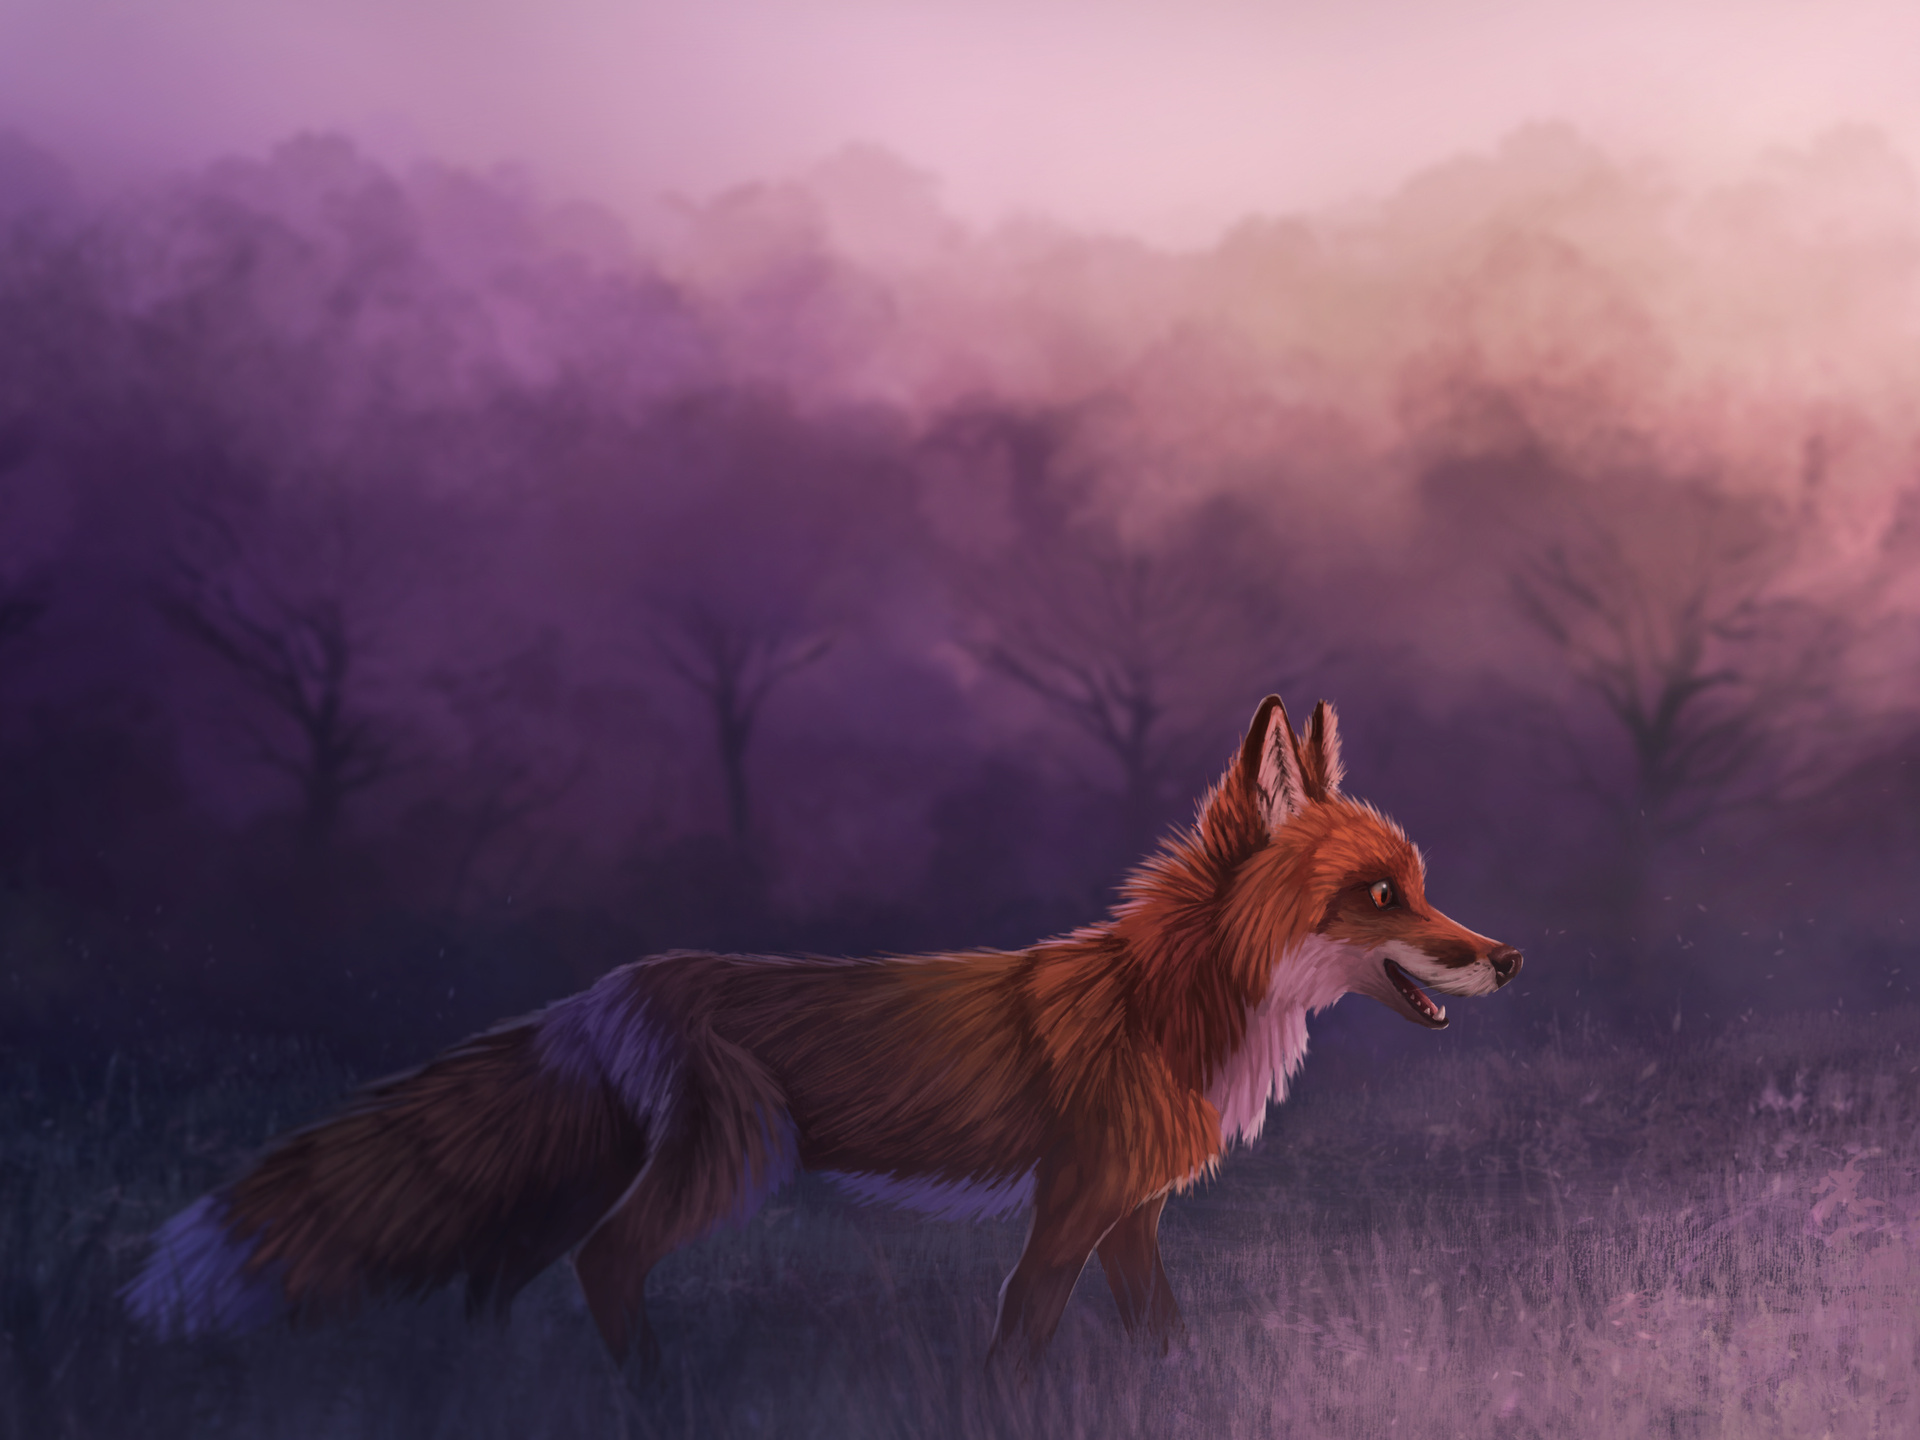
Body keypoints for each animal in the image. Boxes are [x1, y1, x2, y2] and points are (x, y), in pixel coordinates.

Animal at [125, 694, 1521, 1376]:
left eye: (1422, 884)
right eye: (1380, 896)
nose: (1506, 957)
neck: (1170, 998)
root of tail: (604, 990)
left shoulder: (1133, 1214)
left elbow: (1160, 1339)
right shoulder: (1072, 1204)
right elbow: (1016, 1344)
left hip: (592, 1172)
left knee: (501, 1275)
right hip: (728, 1155)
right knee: (602, 1263)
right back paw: (660, 1399)